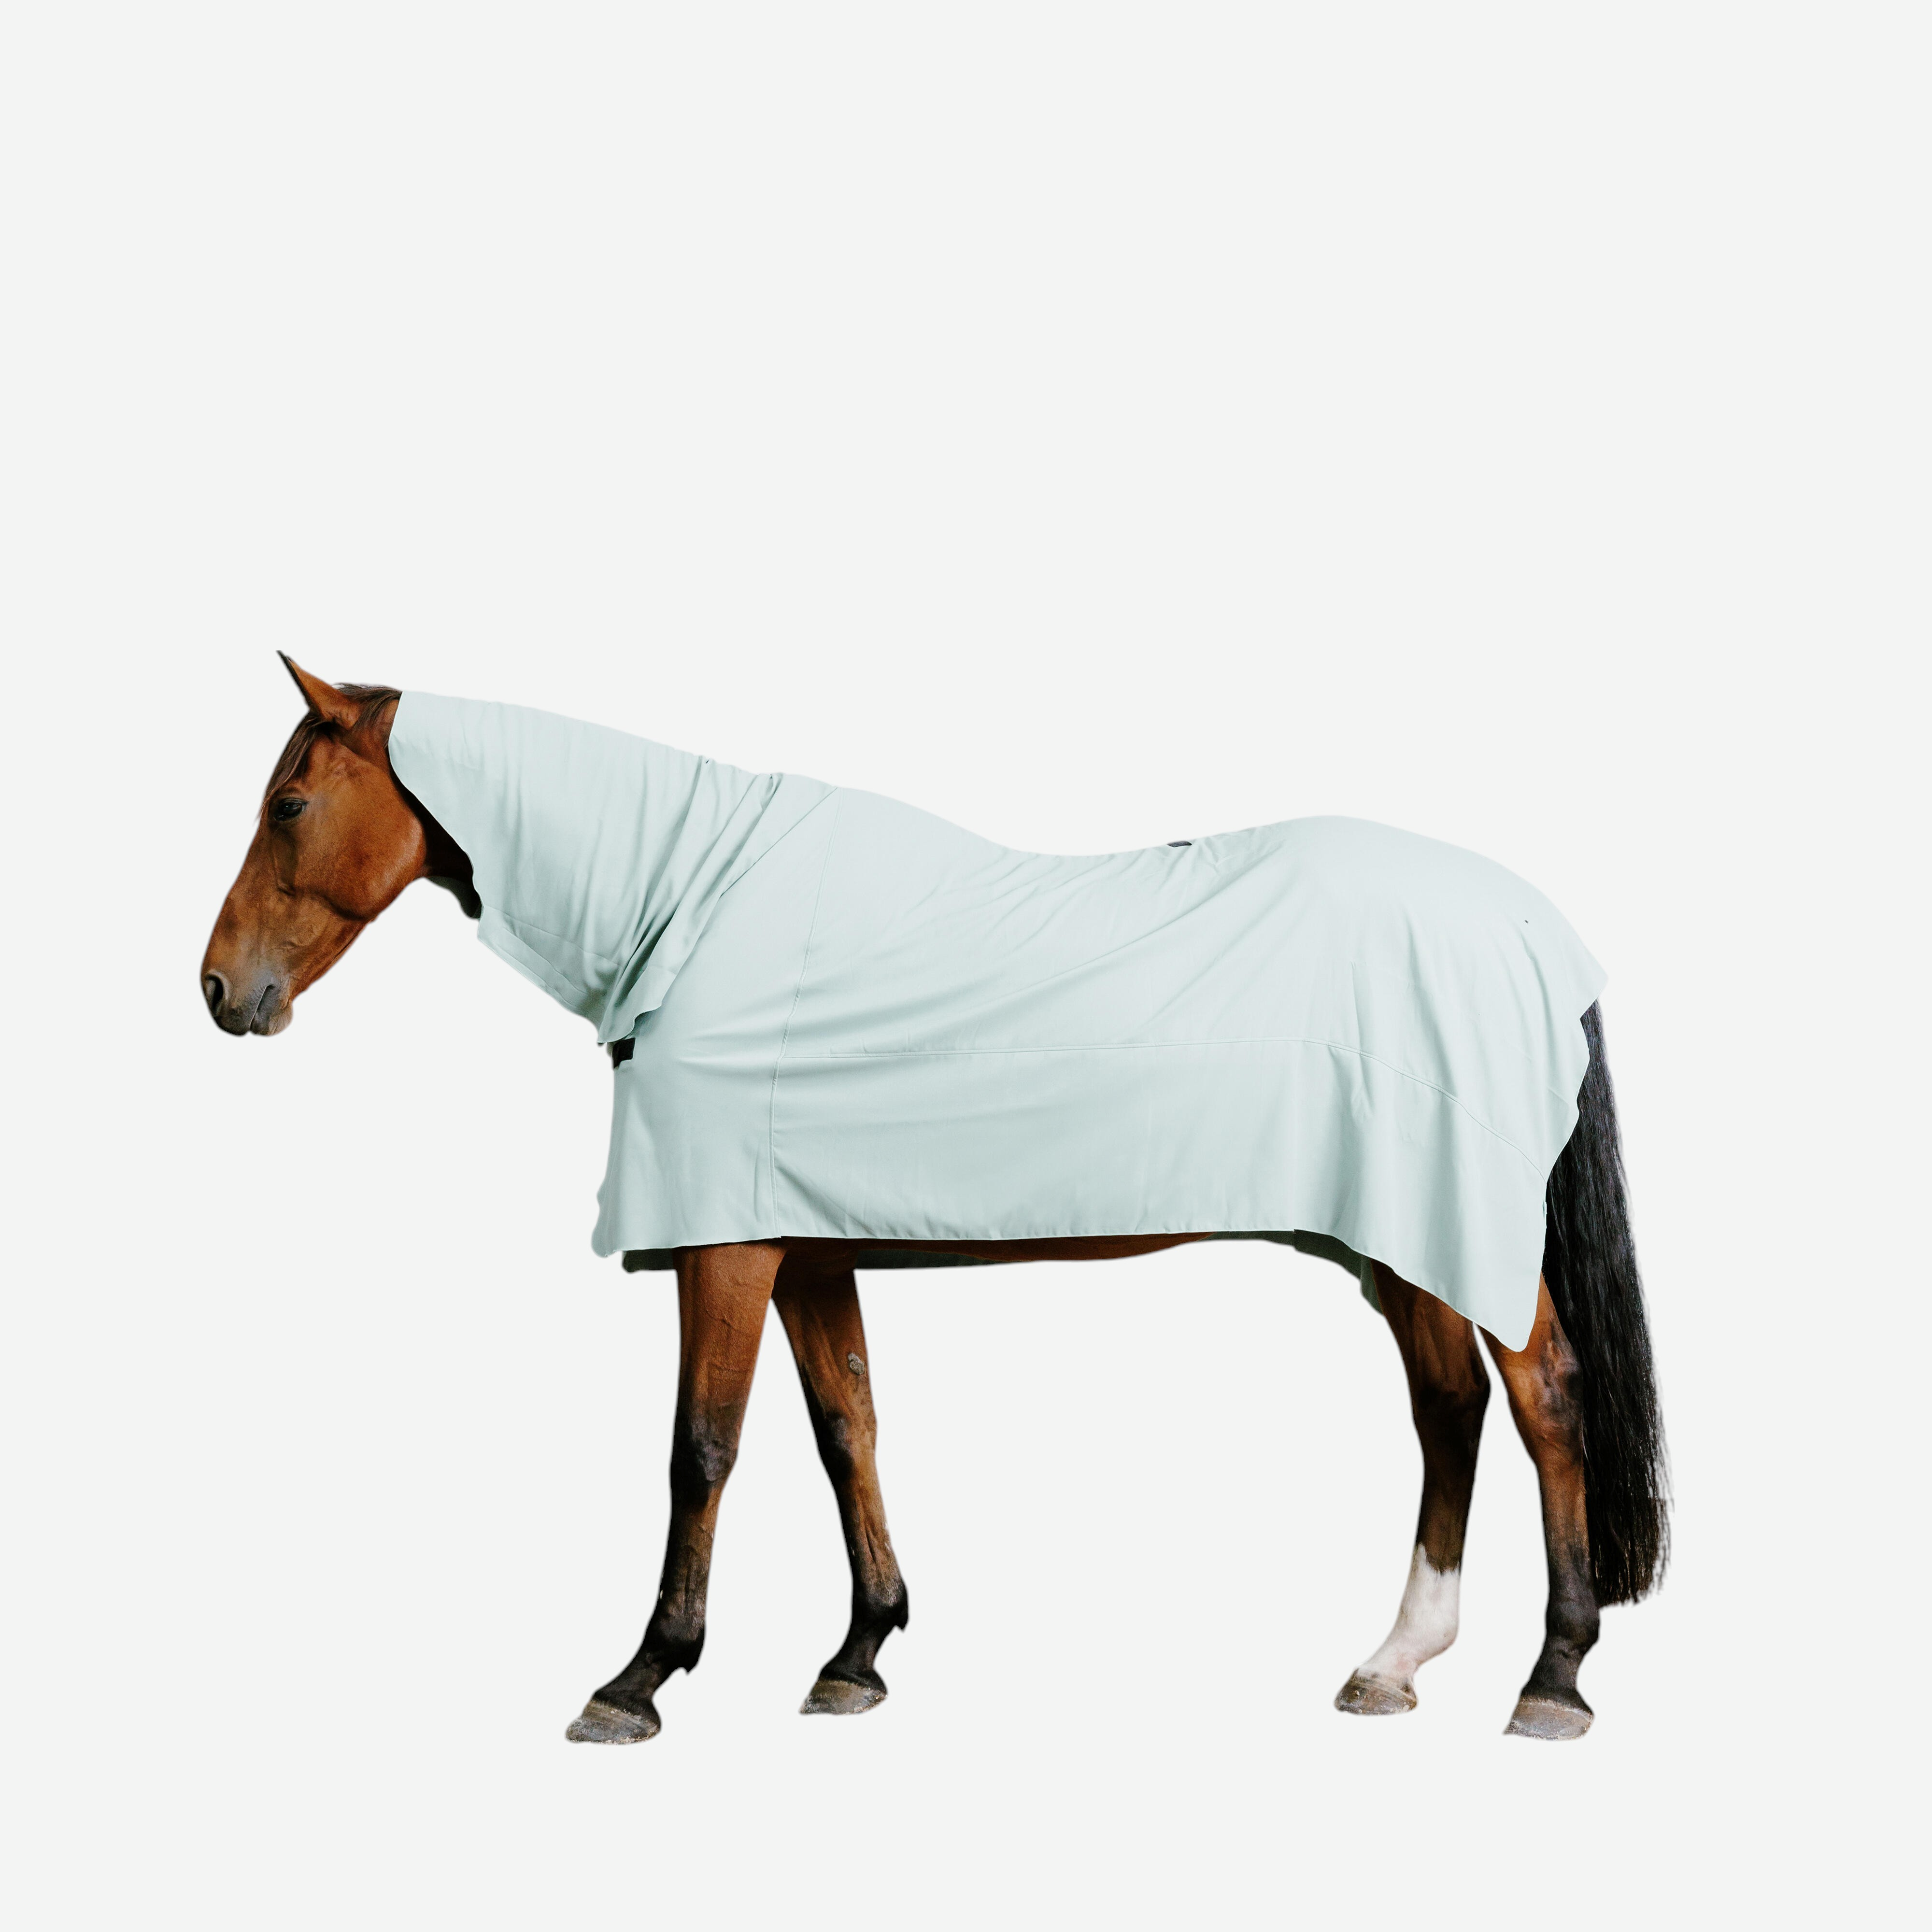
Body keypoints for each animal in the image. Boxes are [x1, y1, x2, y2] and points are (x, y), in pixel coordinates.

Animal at [202, 658, 1668, 1743]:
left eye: (289, 803)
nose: (221, 991)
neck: (696, 902)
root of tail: (1535, 930)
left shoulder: (725, 1244)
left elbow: (702, 1446)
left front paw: (642, 1676)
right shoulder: (801, 1243)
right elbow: (845, 1422)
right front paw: (860, 1650)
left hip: (1447, 1231)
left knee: (1542, 1399)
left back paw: (1553, 1677)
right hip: (1399, 1241)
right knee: (1449, 1407)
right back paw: (1397, 1659)